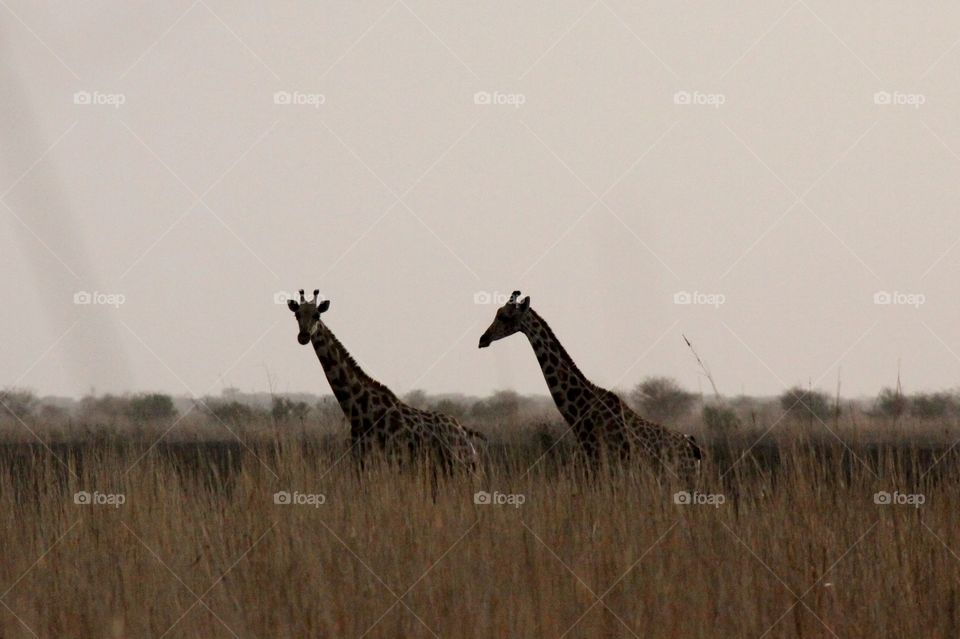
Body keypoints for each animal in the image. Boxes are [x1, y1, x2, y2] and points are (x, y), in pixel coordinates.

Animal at [287, 289, 480, 474]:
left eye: (317, 315)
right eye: (297, 315)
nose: (303, 336)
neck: (357, 411)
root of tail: (464, 434)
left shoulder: (385, 461)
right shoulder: (359, 459)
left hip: (460, 465)